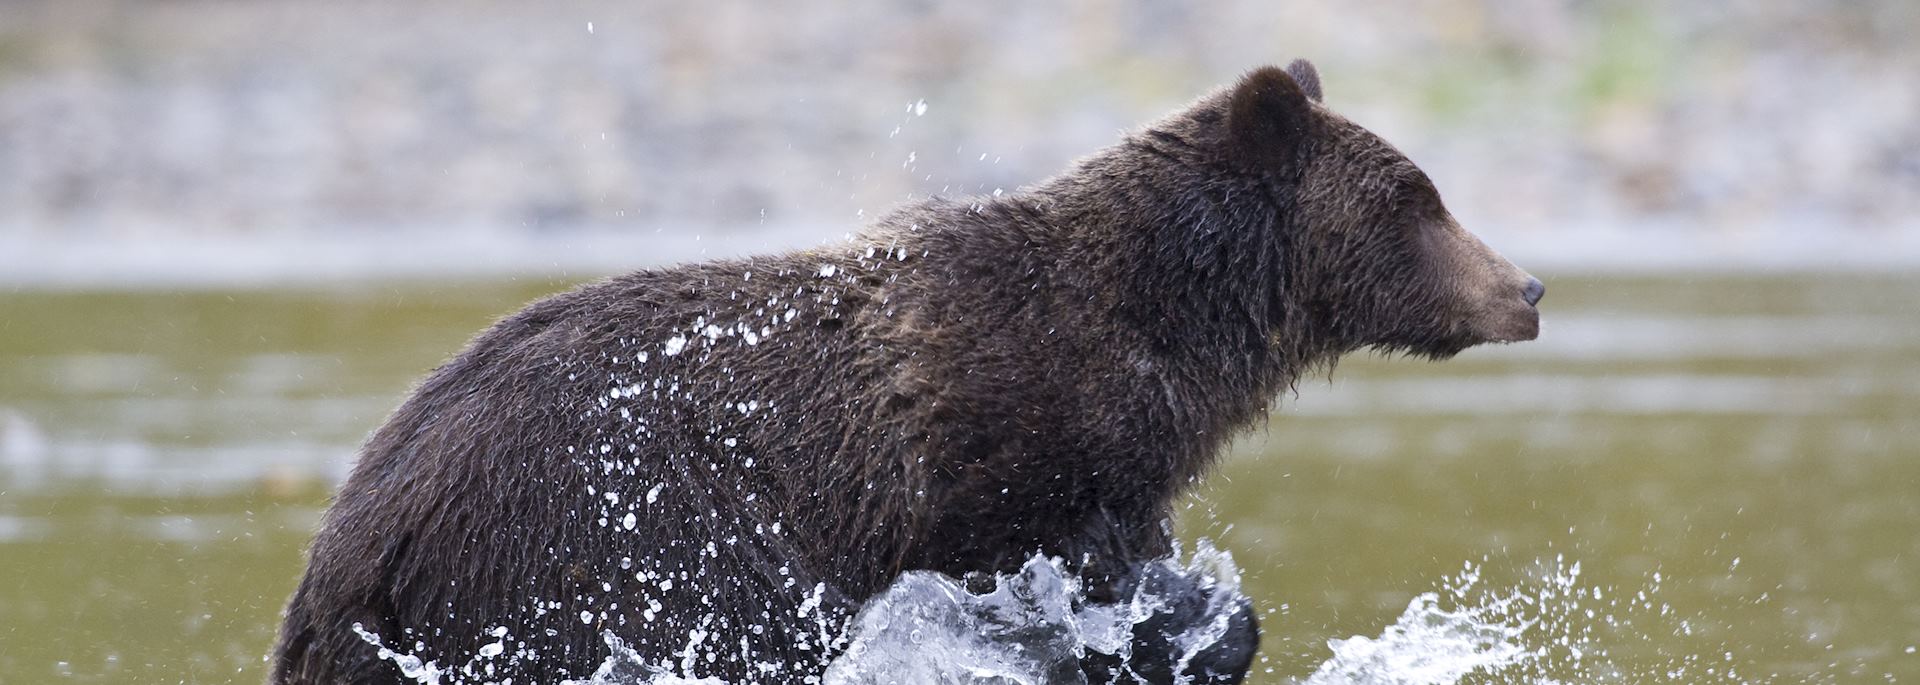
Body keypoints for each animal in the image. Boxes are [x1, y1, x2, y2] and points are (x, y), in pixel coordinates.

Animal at [270, 59, 1536, 683]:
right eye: (1419, 197)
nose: (1525, 287)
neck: (1163, 334)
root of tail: (345, 542)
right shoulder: (1005, 451)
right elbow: (1067, 577)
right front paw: (1180, 638)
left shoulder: (1116, 468)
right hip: (579, 546)